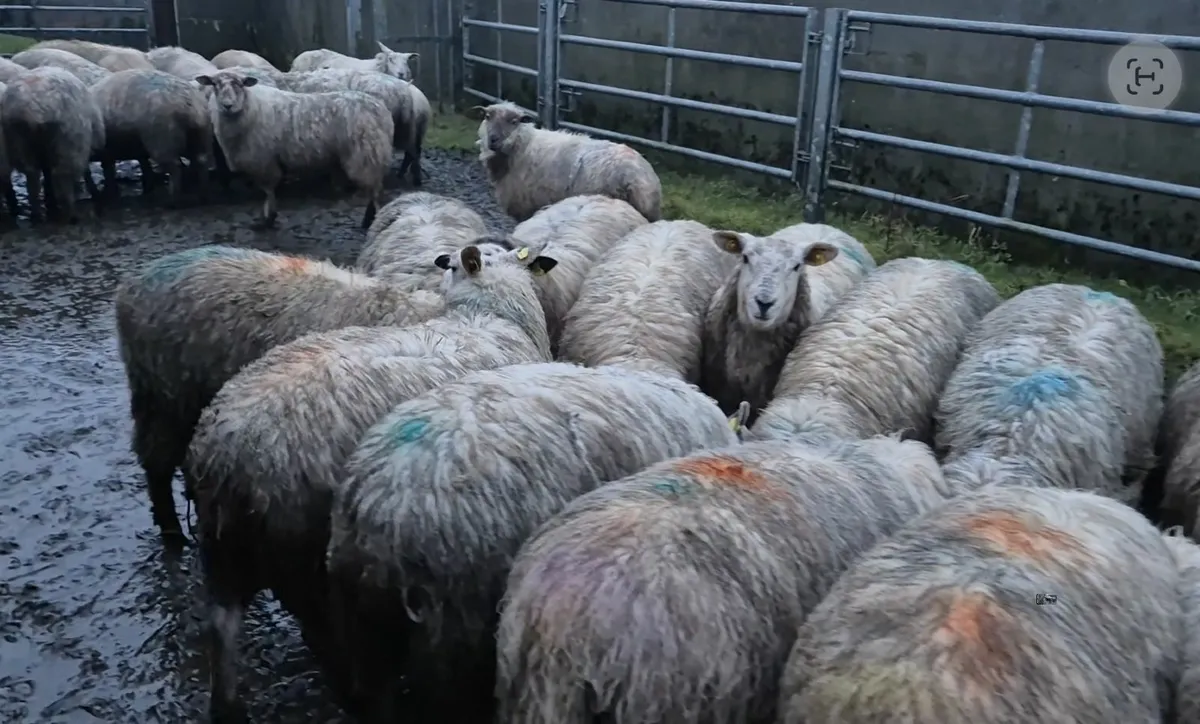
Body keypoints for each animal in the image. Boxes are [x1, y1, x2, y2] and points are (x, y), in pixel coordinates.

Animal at [1, 67, 105, 223]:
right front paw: (94, 192)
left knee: (32, 177)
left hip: (19, 143)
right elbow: (86, 171)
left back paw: (36, 215)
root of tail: (29, 109)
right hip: (68, 142)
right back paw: (71, 215)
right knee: (62, 178)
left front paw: (49, 198)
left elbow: (47, 173)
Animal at [89, 69, 213, 205]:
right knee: (201, 160)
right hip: (201, 135)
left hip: (162, 140)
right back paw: (203, 196)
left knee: (175, 166)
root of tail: (190, 104)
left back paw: (171, 200)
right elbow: (140, 163)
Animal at [189, 243, 560, 723]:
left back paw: (228, 707)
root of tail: (223, 452)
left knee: (222, 626)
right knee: (322, 634)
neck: (485, 314)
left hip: (224, 550)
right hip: (303, 556)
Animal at [196, 69, 393, 229]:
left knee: (375, 192)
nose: (227, 105)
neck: (250, 107)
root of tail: (381, 110)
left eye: (239, 85)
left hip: (366, 155)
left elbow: (268, 190)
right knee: (375, 189)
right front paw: (268, 217)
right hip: (372, 155)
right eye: (214, 85)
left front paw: (268, 219)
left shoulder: (264, 161)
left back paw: (372, 221)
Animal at [475, 101, 662, 222]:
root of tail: (643, 179)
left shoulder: (527, 205)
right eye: (487, 116)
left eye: (514, 122)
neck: (524, 146)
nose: (493, 140)